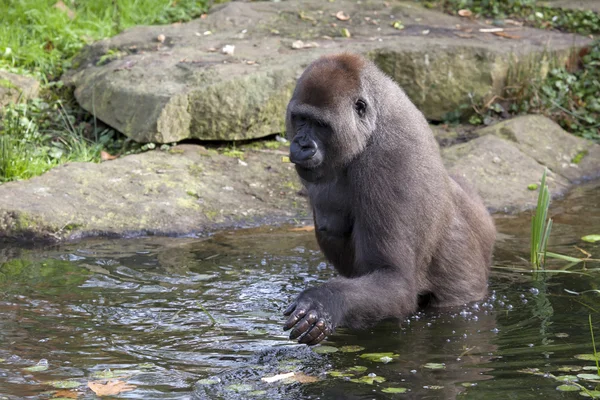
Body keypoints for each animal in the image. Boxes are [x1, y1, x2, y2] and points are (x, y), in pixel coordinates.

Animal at [284, 53, 494, 346]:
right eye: (300, 119)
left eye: (321, 125)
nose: (301, 144)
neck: (374, 123)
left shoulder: (390, 162)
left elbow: (394, 280)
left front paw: (325, 301)